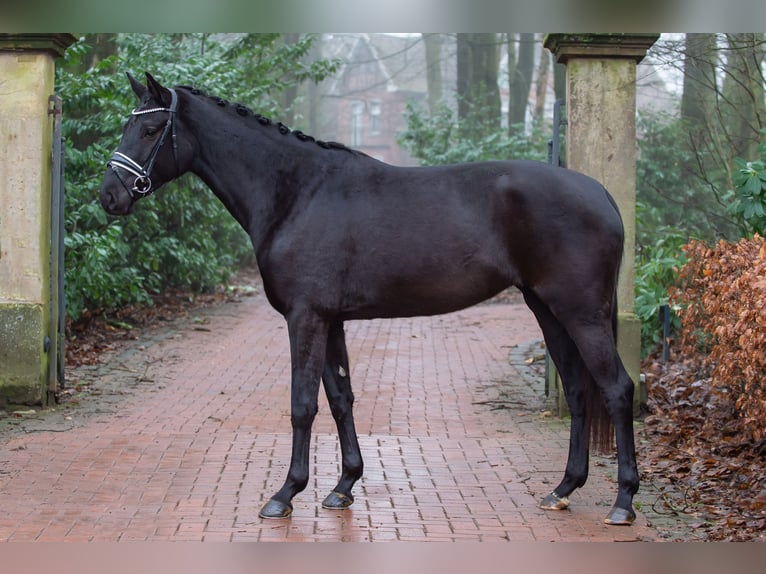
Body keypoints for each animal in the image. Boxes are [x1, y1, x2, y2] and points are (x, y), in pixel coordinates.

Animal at [102, 74, 640, 528]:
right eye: (128, 125)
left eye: (150, 128)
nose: (110, 195)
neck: (296, 192)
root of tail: (600, 193)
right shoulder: (331, 319)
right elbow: (341, 397)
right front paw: (343, 486)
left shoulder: (305, 317)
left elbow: (302, 404)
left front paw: (285, 493)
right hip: (548, 311)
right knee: (578, 390)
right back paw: (564, 489)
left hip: (580, 313)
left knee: (616, 390)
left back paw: (623, 502)